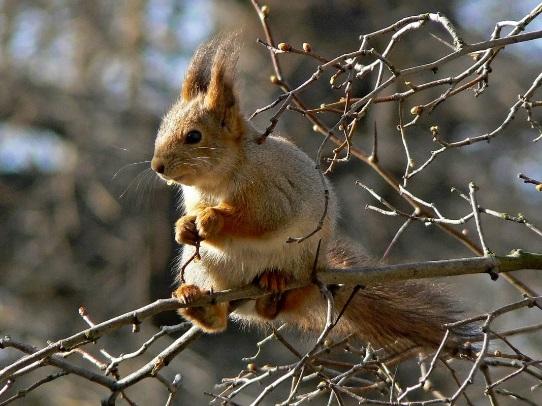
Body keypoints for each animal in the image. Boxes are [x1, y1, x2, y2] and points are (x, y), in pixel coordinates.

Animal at [150, 38, 476, 356]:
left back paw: (275, 285)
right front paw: (184, 227)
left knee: (276, 306)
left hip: (299, 262)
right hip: (204, 267)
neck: (217, 180)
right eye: (162, 129)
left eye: (194, 137)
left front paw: (212, 219)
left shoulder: (272, 191)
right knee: (220, 319)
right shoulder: (195, 197)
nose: (157, 166)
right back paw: (199, 303)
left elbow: (260, 220)